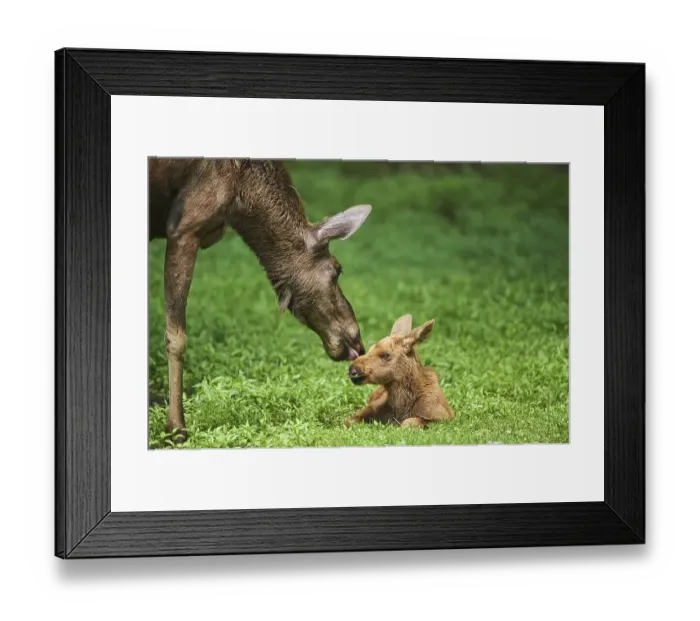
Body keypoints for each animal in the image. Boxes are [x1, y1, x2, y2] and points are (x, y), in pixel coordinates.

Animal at [149, 157, 372, 442]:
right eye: (337, 270)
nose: (358, 341)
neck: (241, 200)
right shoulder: (185, 226)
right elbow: (176, 338)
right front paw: (176, 428)